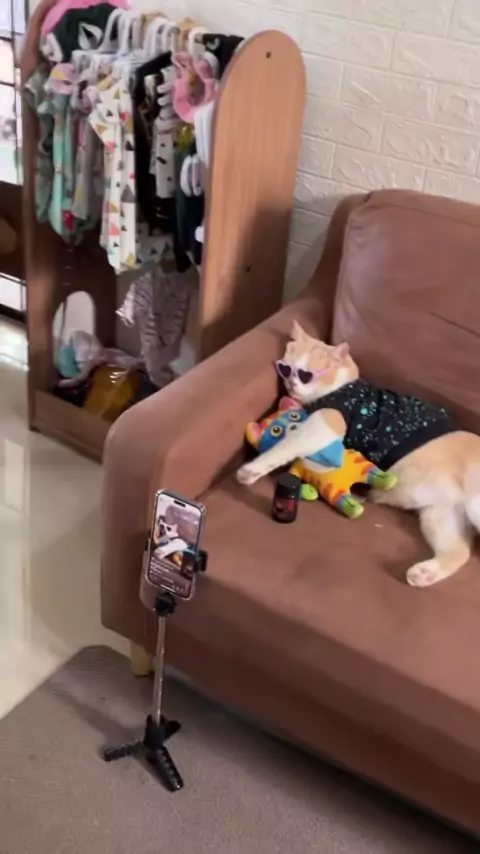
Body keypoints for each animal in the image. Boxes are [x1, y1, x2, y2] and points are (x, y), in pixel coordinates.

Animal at [237, 321, 480, 588]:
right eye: (285, 368)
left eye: (306, 374)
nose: (291, 383)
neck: (344, 385)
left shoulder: (325, 424)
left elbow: (288, 445)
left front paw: (251, 470)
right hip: (441, 515)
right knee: (459, 551)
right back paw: (424, 573)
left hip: (474, 504)